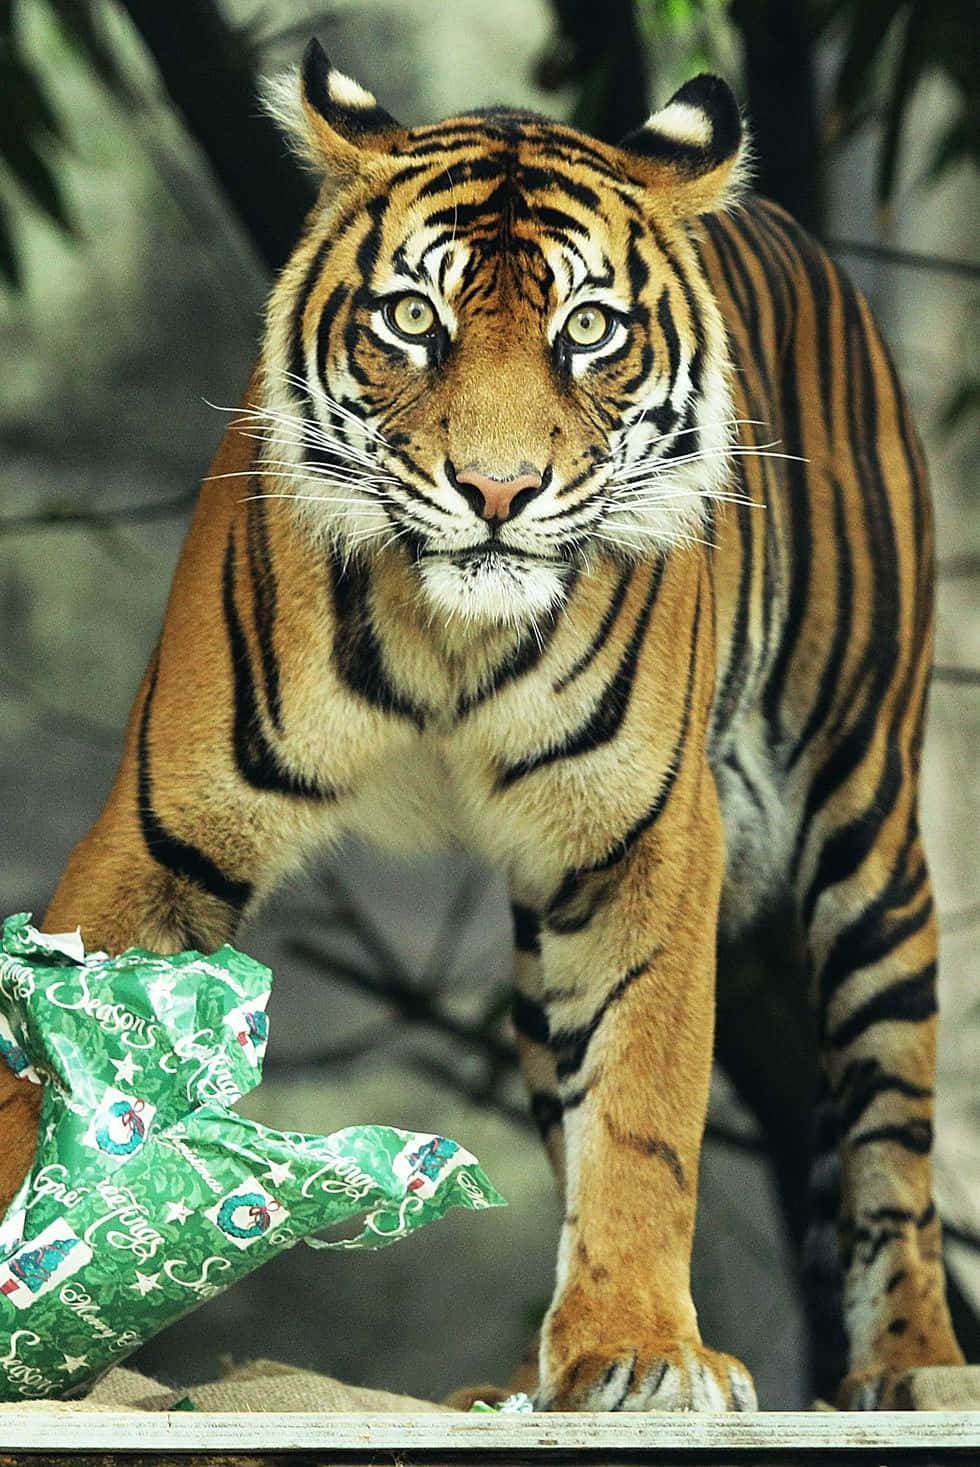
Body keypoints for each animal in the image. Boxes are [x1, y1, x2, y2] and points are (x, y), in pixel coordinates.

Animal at [0, 39, 965, 1411]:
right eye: (414, 319)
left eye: (587, 330)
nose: (497, 492)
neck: (446, 639)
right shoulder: (163, 827)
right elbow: (33, 1061)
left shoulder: (649, 839)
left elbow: (644, 1113)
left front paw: (641, 1347)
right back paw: (520, 1378)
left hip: (865, 833)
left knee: (891, 1134)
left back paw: (914, 1368)